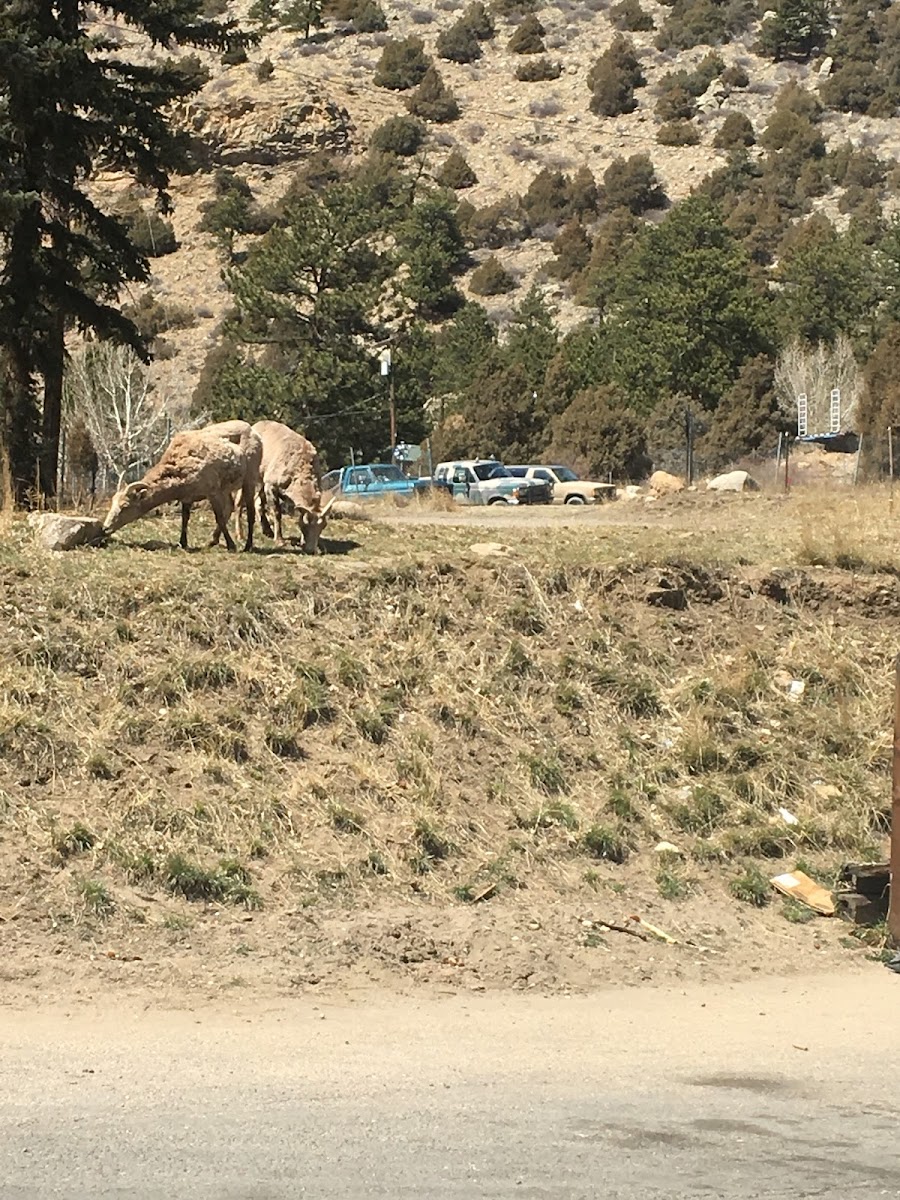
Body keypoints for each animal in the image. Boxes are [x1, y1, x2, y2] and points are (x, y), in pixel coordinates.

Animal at [104, 420, 264, 549]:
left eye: (125, 506)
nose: (105, 528)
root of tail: (252, 430)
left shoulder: (212, 491)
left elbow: (218, 516)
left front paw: (231, 545)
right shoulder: (188, 496)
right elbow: (185, 518)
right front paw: (183, 542)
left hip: (249, 478)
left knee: (249, 512)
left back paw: (248, 546)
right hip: (226, 488)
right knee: (230, 507)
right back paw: (212, 541)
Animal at [250, 420, 336, 554]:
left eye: (323, 526)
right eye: (305, 526)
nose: (311, 550)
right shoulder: (271, 486)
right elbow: (277, 513)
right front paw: (279, 541)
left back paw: (267, 531)